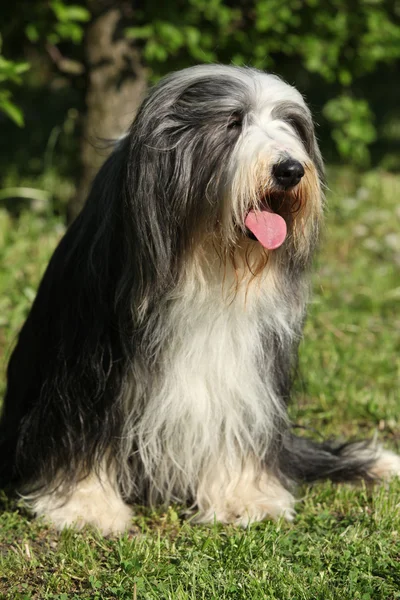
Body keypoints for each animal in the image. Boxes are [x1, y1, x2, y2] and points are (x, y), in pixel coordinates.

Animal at [0, 67, 400, 536]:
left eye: (293, 125)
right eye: (232, 123)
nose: (290, 169)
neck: (205, 261)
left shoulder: (246, 377)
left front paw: (243, 499)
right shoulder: (86, 371)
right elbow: (82, 432)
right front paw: (86, 506)